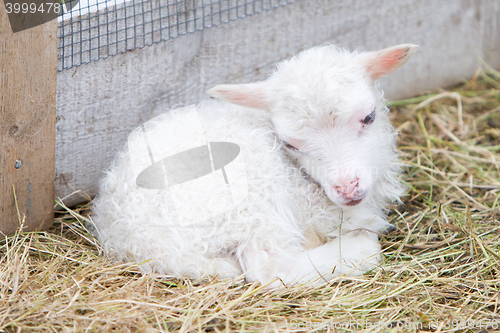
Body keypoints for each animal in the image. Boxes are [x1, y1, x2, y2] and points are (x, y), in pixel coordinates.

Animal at [91, 43, 418, 288]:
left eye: (369, 117)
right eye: (290, 144)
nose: (348, 189)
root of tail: (135, 240)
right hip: (250, 195)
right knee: (270, 267)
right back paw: (361, 251)